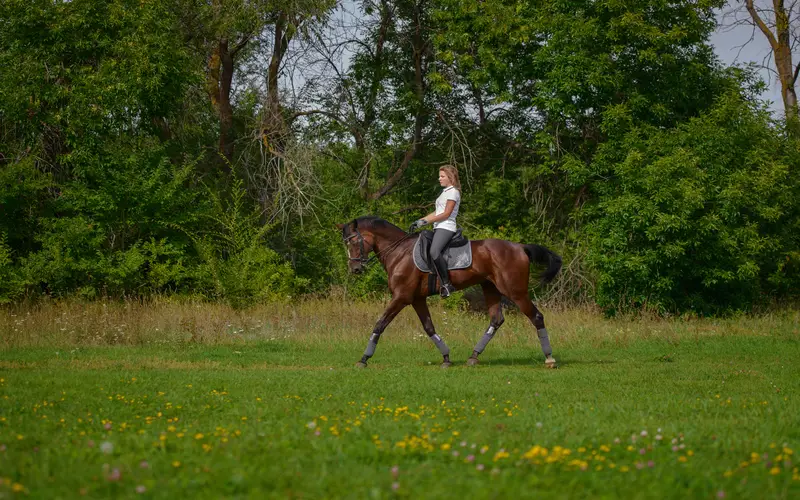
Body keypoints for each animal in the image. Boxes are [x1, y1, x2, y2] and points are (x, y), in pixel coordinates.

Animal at [337, 216, 562, 368]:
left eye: (353, 242)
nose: (355, 269)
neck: (399, 252)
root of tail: (520, 247)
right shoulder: (417, 299)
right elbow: (429, 328)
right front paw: (446, 358)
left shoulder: (401, 297)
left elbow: (380, 324)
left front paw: (364, 358)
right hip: (490, 288)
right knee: (496, 319)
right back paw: (474, 356)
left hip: (515, 292)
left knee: (536, 316)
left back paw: (549, 358)